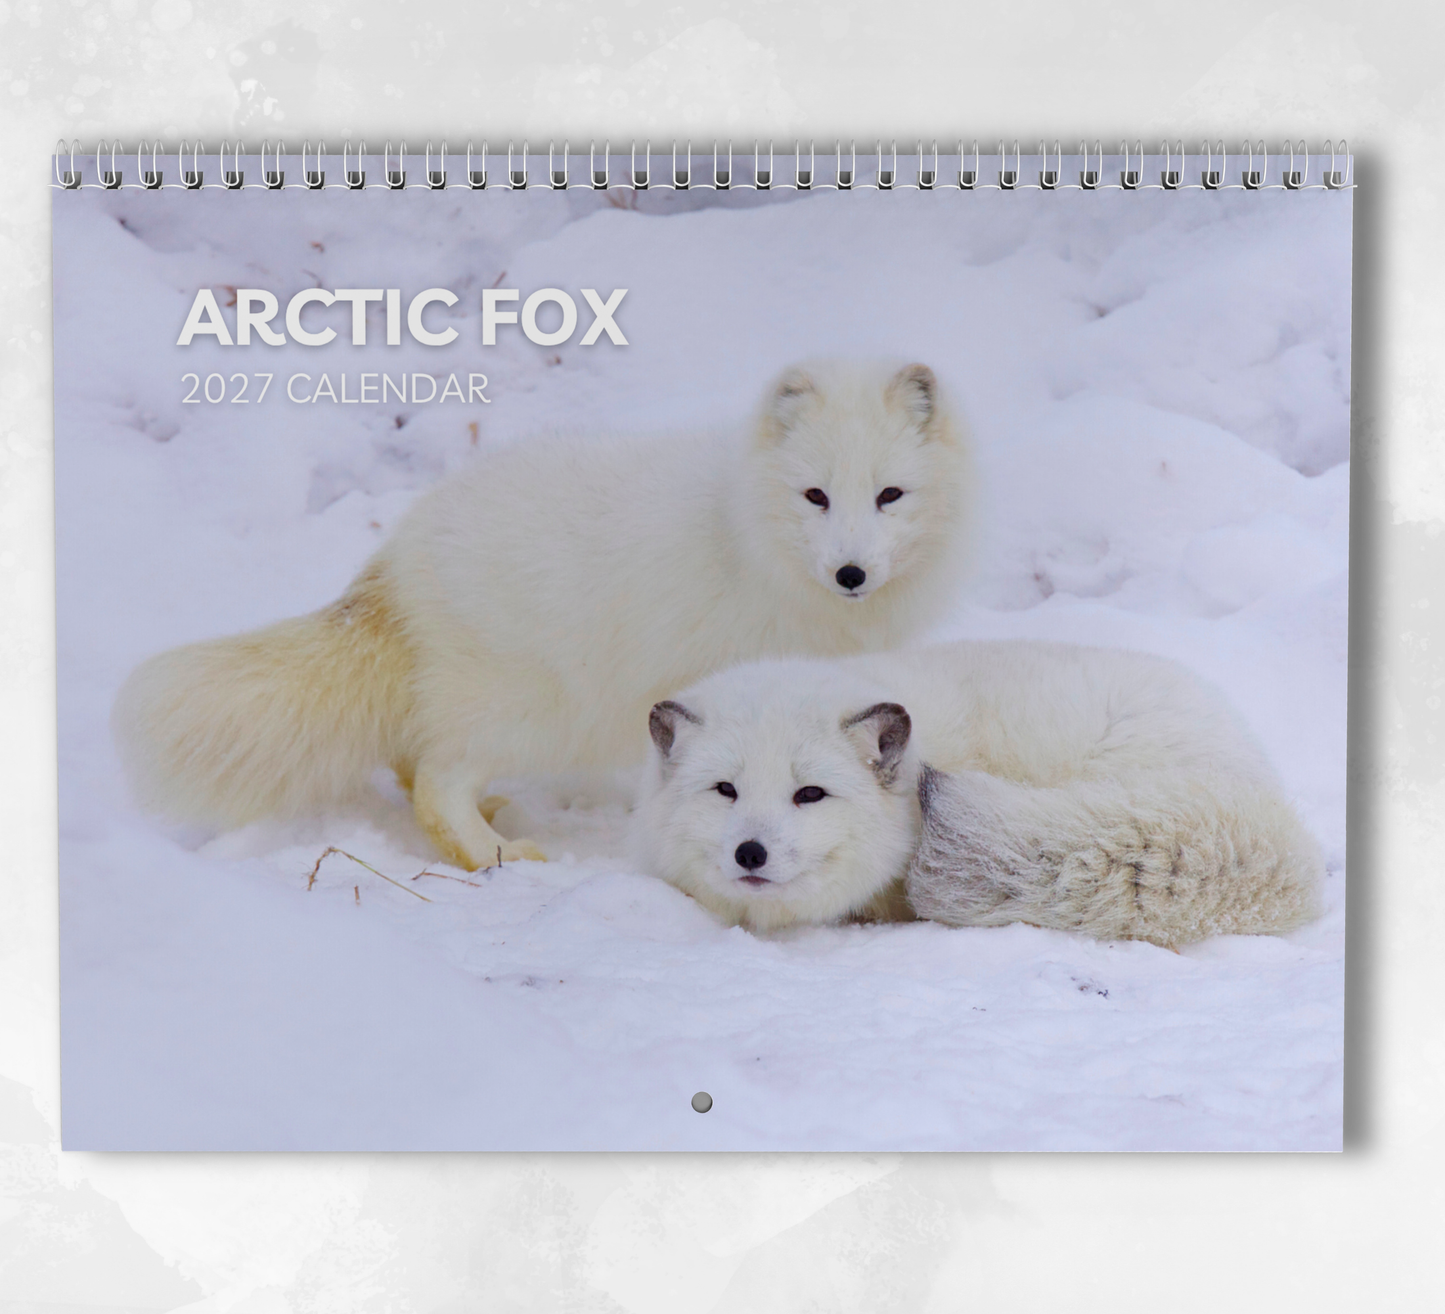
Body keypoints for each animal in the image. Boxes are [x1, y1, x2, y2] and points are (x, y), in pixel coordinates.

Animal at [113, 358, 973, 867]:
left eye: (890, 495)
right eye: (815, 496)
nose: (851, 572)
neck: (748, 534)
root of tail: (398, 555)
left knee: (414, 758)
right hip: (530, 708)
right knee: (435, 781)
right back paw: (495, 854)